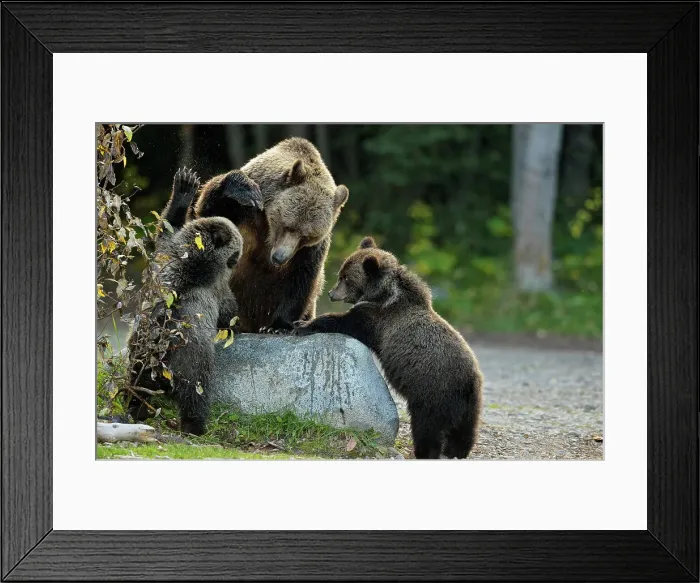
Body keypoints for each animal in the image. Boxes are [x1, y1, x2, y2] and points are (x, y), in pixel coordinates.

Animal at [127, 168, 243, 435]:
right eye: (237, 249)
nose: (236, 259)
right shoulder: (216, 291)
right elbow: (230, 315)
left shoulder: (164, 255)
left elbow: (167, 226)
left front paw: (185, 186)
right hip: (189, 359)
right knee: (195, 393)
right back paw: (195, 425)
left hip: (139, 353)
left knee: (136, 382)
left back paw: (135, 407)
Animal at [191, 137, 350, 333]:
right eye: (287, 226)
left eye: (306, 236)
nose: (280, 258)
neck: (268, 229)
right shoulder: (247, 214)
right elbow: (211, 214)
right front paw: (244, 189)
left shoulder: (311, 250)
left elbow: (301, 278)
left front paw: (278, 325)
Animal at [292, 236, 484, 459]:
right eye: (341, 274)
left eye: (346, 278)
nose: (331, 293)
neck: (382, 294)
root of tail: (467, 380)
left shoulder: (376, 320)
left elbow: (343, 322)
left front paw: (302, 325)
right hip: (471, 403)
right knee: (466, 429)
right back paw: (457, 450)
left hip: (430, 391)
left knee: (427, 426)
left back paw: (425, 451)